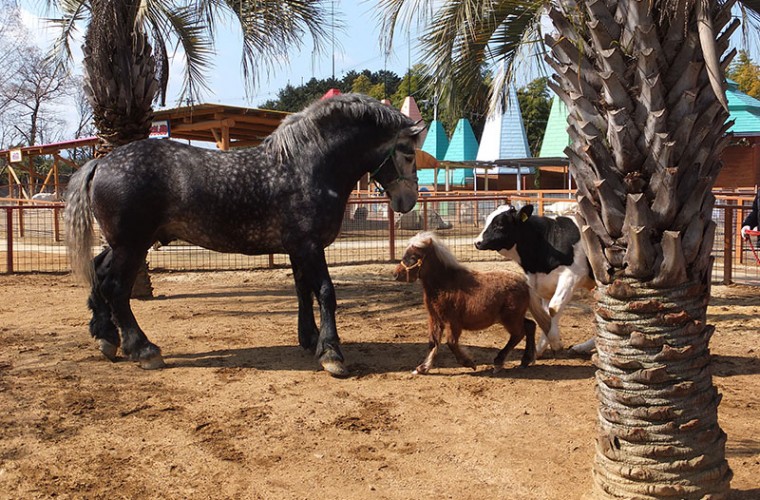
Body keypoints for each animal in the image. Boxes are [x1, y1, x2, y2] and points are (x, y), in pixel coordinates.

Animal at [65, 94, 428, 376]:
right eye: (408, 153)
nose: (408, 200)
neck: (306, 166)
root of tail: (101, 163)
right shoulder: (310, 245)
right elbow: (325, 291)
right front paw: (332, 354)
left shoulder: (297, 247)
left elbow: (303, 291)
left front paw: (310, 339)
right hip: (133, 245)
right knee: (115, 288)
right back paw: (143, 349)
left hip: (123, 244)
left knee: (98, 272)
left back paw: (106, 337)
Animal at [394, 232, 548, 374]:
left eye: (413, 257)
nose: (396, 275)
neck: (445, 284)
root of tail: (524, 282)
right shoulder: (435, 319)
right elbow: (433, 342)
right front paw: (422, 368)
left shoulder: (453, 322)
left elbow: (451, 343)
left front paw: (469, 363)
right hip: (513, 317)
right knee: (530, 326)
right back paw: (525, 360)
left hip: (510, 318)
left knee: (519, 334)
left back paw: (499, 362)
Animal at [476, 205, 592, 358]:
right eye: (487, 219)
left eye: (499, 224)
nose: (477, 242)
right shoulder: (545, 285)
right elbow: (544, 315)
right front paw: (539, 349)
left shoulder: (572, 276)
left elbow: (554, 308)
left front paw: (556, 343)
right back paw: (581, 348)